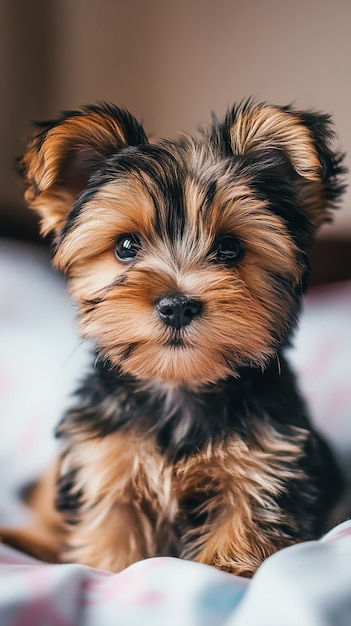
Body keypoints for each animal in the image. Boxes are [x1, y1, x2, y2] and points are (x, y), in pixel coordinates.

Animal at [1, 101, 346, 576]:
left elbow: (237, 542)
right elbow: (109, 556)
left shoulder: (261, 468)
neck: (179, 387)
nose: (177, 305)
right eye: (126, 246)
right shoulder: (106, 466)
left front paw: (228, 566)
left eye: (230, 248)